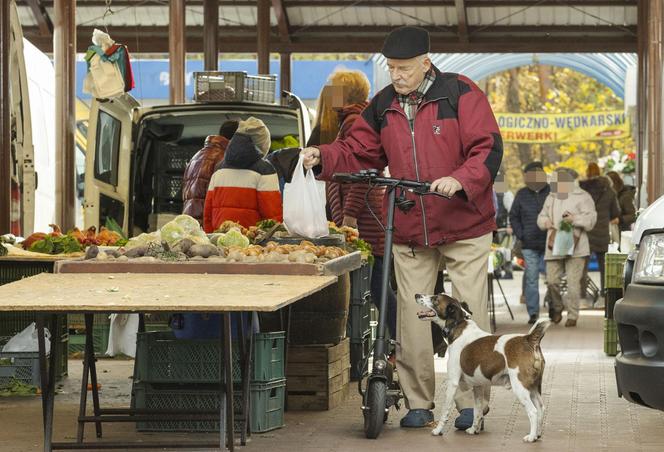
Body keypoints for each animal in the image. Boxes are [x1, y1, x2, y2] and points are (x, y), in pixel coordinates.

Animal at [416, 292, 548, 444]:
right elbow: (477, 411)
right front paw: (474, 429)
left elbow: (445, 410)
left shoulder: (452, 382)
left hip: (521, 387)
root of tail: (528, 339)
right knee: (541, 408)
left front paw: (438, 430)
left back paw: (531, 437)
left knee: (533, 411)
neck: (459, 325)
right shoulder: (478, 387)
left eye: (435, 299)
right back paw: (538, 434)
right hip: (534, 387)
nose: (417, 295)